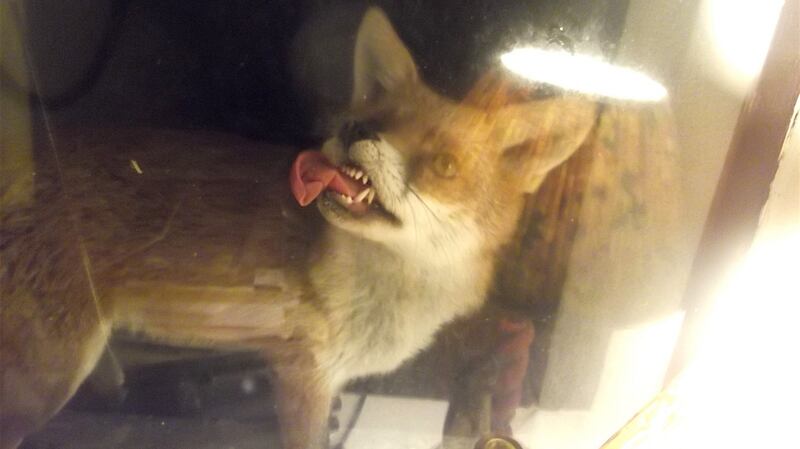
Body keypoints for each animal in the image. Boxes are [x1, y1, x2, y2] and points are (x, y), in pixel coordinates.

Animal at [0, 7, 596, 449]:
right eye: (373, 117)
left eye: (444, 164)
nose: (356, 130)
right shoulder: (303, 373)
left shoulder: (323, 378)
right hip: (44, 381)